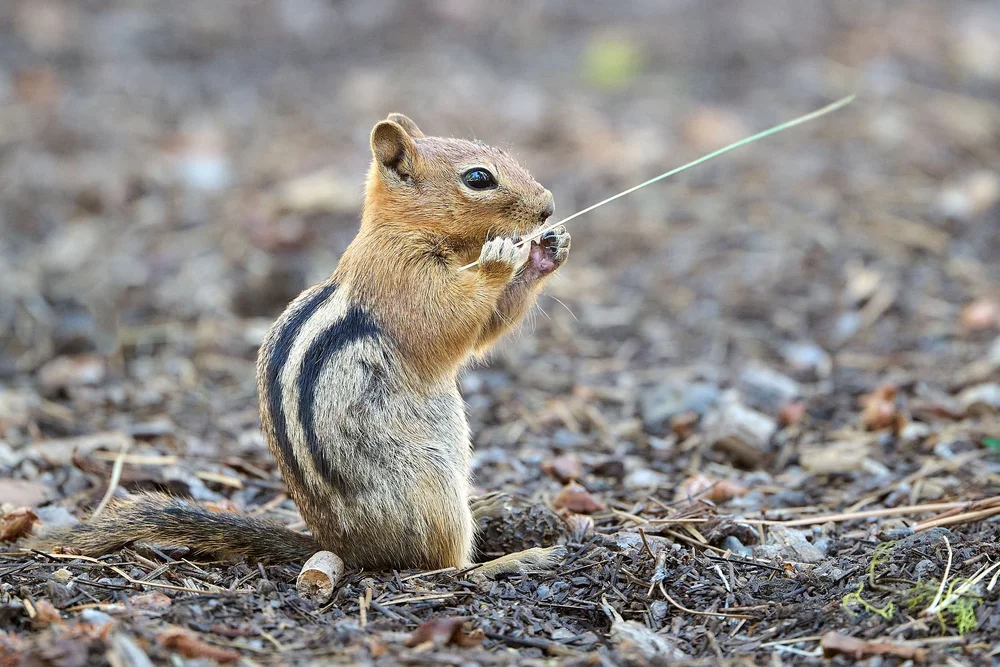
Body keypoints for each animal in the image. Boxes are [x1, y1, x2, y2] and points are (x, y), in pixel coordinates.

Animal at [30, 113, 571, 578]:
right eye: (479, 178)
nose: (548, 206)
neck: (401, 230)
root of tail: (341, 546)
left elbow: (485, 329)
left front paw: (548, 250)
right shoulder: (402, 281)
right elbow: (447, 327)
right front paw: (501, 258)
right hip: (428, 489)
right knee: (441, 566)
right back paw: (513, 559)